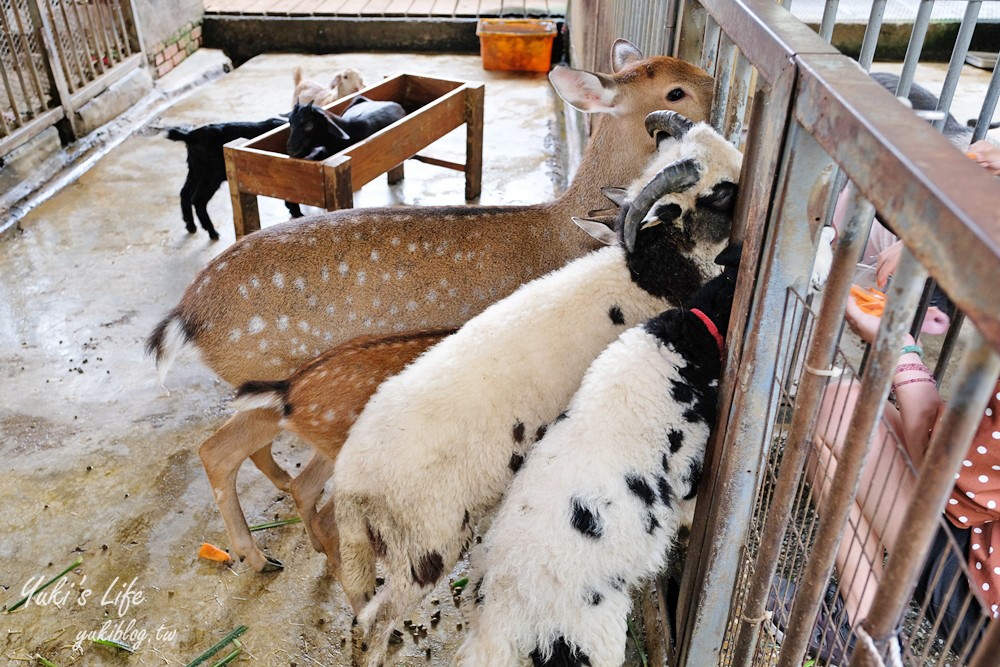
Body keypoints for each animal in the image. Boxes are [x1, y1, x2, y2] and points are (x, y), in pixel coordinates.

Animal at [167, 118, 304, 241]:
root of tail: (190, 135)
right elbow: (292, 197)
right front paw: (298, 214)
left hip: (195, 172)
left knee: (184, 193)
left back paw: (190, 225)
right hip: (210, 177)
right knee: (198, 200)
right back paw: (212, 232)